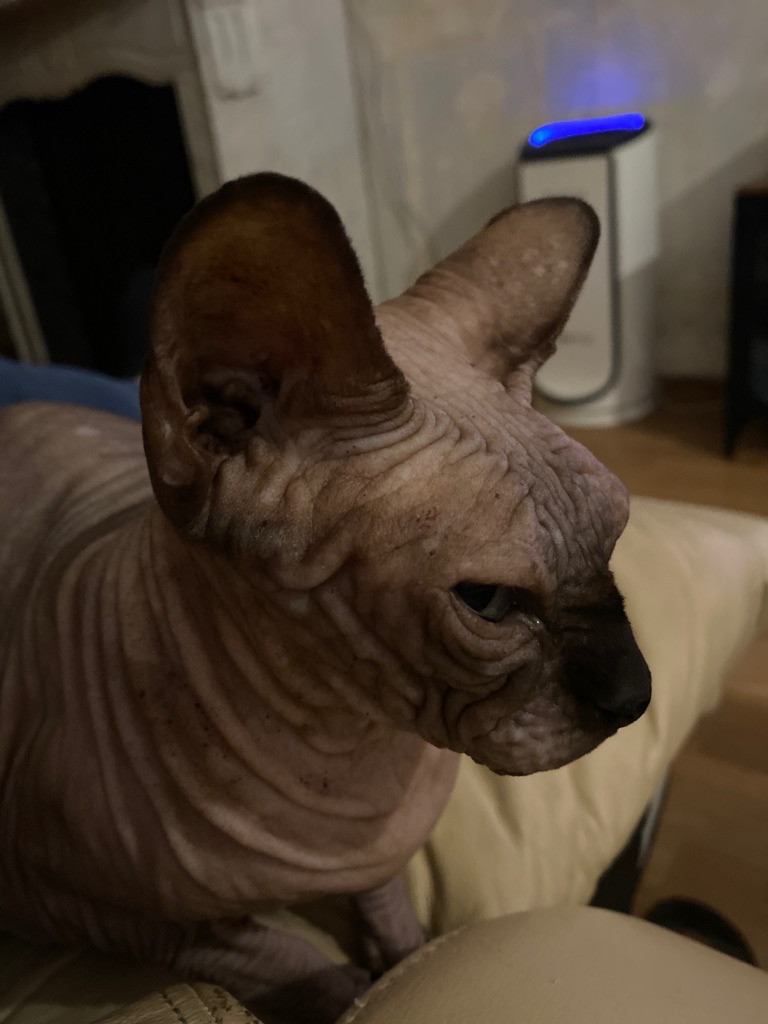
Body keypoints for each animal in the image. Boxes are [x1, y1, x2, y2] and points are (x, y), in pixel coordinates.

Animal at [0, 173, 651, 1023]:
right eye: (486, 601)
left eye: (616, 534)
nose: (637, 696)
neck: (350, 753)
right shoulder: (81, 910)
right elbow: (264, 950)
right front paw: (348, 990)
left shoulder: (379, 854)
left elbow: (393, 909)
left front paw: (400, 958)